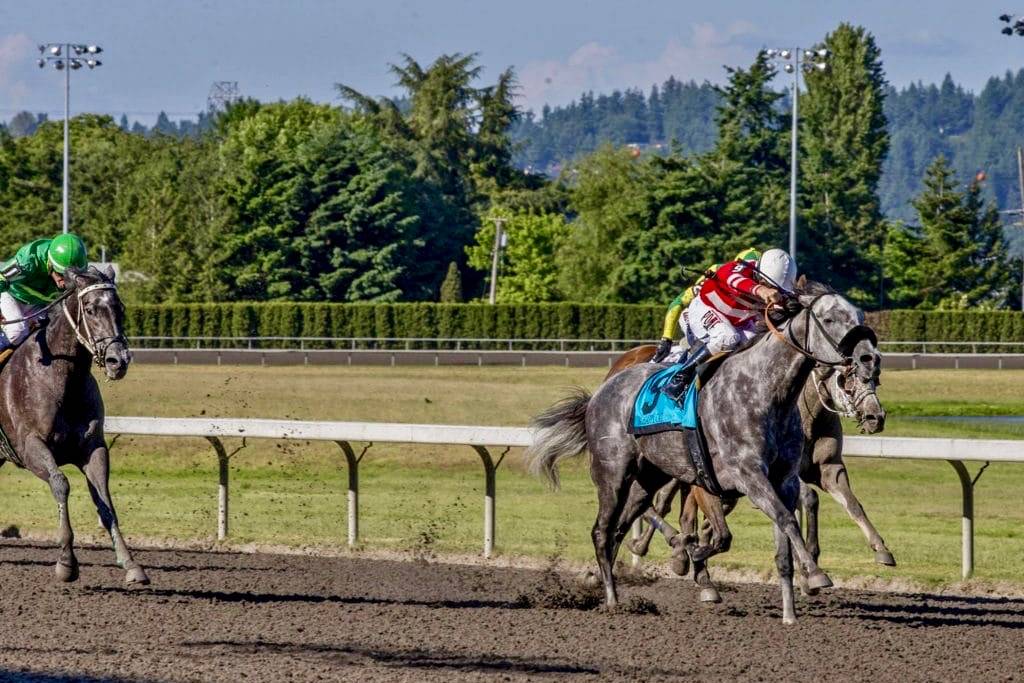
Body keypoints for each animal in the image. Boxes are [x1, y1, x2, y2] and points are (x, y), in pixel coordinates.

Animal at [0, 264, 148, 585]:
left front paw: (131, 564)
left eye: (120, 308)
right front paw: (66, 561)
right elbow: (60, 484)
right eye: (90, 309)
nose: (119, 360)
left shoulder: (93, 447)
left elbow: (105, 500)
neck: (61, 374)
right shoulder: (30, 447)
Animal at [532, 280, 876, 622]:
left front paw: (790, 611)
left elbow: (779, 540)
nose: (869, 359)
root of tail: (601, 391)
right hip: (613, 473)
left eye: (859, 315)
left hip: (649, 475)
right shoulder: (748, 475)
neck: (765, 391)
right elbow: (784, 520)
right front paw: (816, 574)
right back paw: (613, 599)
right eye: (829, 318)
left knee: (623, 525)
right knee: (602, 531)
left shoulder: (782, 480)